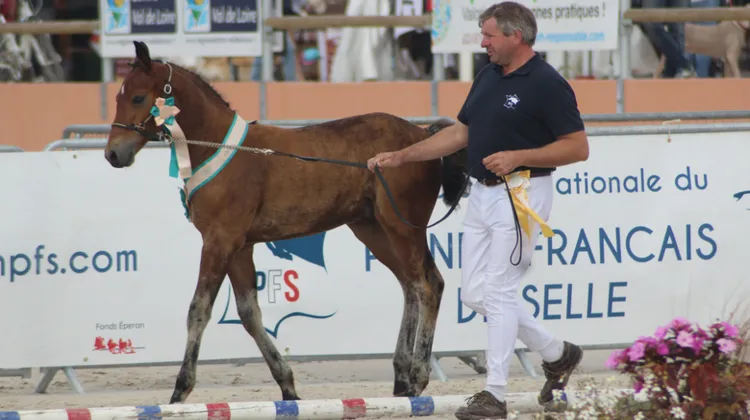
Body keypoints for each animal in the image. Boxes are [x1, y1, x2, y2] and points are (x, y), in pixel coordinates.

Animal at [104, 41, 467, 404]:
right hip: (374, 229)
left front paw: (180, 390)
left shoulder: (219, 241)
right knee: (409, 286)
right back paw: (401, 379)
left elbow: (199, 310)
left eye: (138, 98)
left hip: (404, 226)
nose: (113, 154)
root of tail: (420, 133)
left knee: (428, 286)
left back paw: (418, 376)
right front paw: (288, 385)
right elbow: (249, 314)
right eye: (118, 98)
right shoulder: (239, 247)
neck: (220, 147)